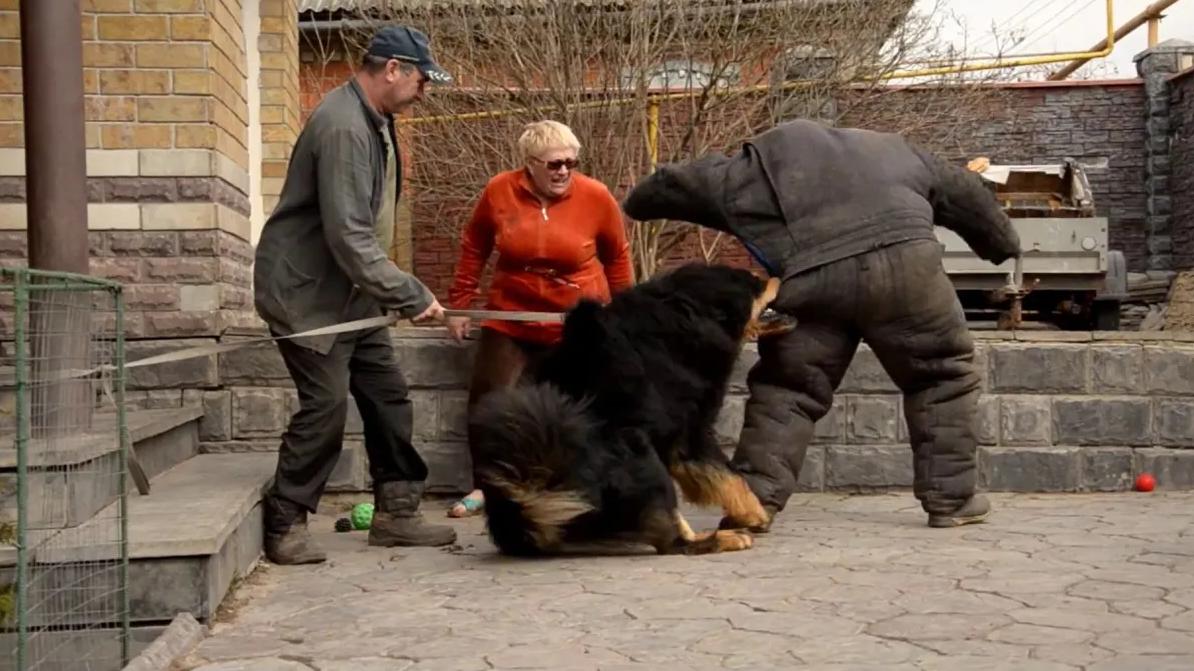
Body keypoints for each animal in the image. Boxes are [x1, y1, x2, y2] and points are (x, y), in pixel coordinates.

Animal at [465, 261, 783, 553]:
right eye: (754, 283)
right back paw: (720, 539)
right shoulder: (689, 431)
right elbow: (730, 475)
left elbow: (725, 477)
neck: (688, 314)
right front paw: (756, 515)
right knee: (670, 538)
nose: (776, 275)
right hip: (637, 451)